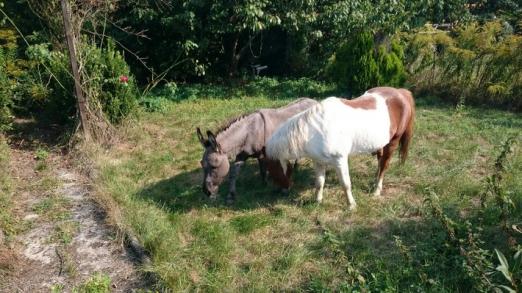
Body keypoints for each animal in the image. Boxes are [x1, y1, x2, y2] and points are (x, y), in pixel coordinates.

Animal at [266, 86, 412, 210]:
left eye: (274, 170)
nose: (283, 191)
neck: (316, 132)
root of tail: (401, 92)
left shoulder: (340, 160)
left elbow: (345, 184)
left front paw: (351, 205)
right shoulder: (318, 161)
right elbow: (319, 182)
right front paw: (317, 201)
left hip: (393, 142)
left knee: (384, 165)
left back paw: (377, 190)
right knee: (380, 161)